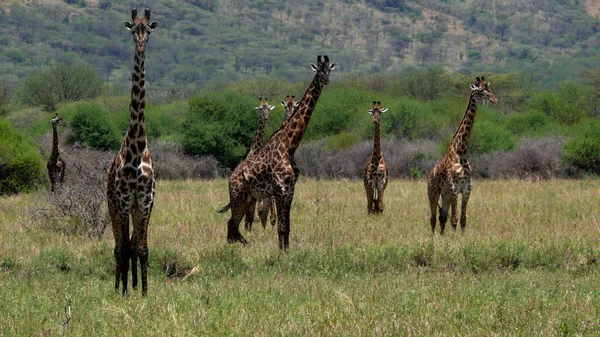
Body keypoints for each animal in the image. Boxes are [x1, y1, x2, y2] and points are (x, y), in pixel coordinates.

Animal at [426, 76, 496, 234]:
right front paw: (454, 239)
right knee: (433, 218)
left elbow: (463, 220)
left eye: (489, 89)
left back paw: (441, 236)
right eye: (481, 91)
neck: (461, 150)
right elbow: (454, 220)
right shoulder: (454, 188)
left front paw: (462, 237)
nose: (494, 99)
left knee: (442, 217)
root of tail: (430, 173)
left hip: (445, 195)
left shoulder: (466, 188)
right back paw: (433, 237)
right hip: (433, 192)